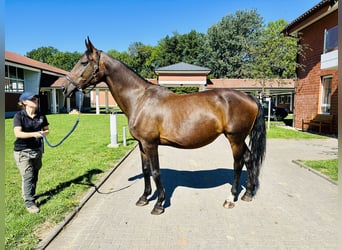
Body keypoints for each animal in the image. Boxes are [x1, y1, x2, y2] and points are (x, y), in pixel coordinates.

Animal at [61, 38, 266, 215]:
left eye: (83, 62)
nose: (65, 89)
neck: (140, 99)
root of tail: (249, 96)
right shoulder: (142, 144)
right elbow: (145, 170)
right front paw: (144, 198)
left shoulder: (151, 144)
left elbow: (155, 171)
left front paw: (159, 204)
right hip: (239, 139)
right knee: (249, 159)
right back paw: (248, 193)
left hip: (235, 138)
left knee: (238, 163)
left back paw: (230, 198)